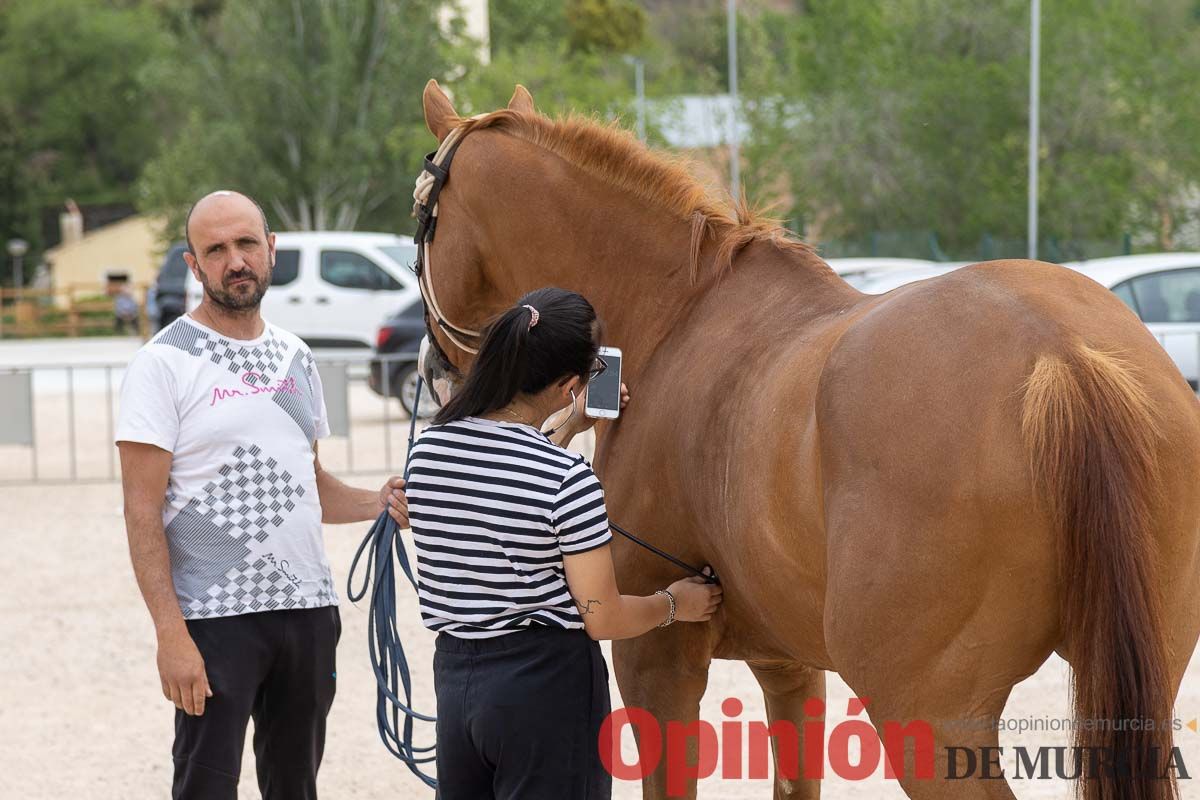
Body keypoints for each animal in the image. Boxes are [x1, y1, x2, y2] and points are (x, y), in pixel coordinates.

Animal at [410, 79, 1200, 800]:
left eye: (421, 220)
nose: (434, 370)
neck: (679, 317)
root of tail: (1062, 355)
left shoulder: (655, 661)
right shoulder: (789, 667)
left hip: (931, 718)